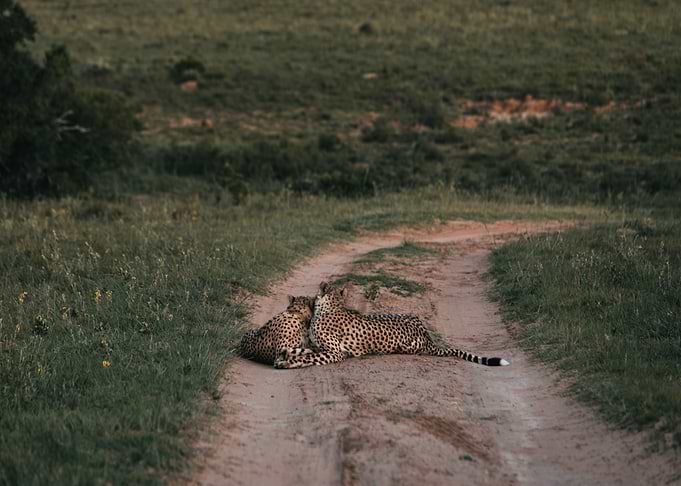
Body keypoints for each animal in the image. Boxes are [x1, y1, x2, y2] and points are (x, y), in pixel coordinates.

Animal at [274, 282, 509, 369]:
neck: (333, 305)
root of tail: (428, 338)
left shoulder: (336, 352)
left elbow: (310, 358)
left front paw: (288, 362)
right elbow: (305, 351)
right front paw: (286, 357)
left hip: (406, 345)